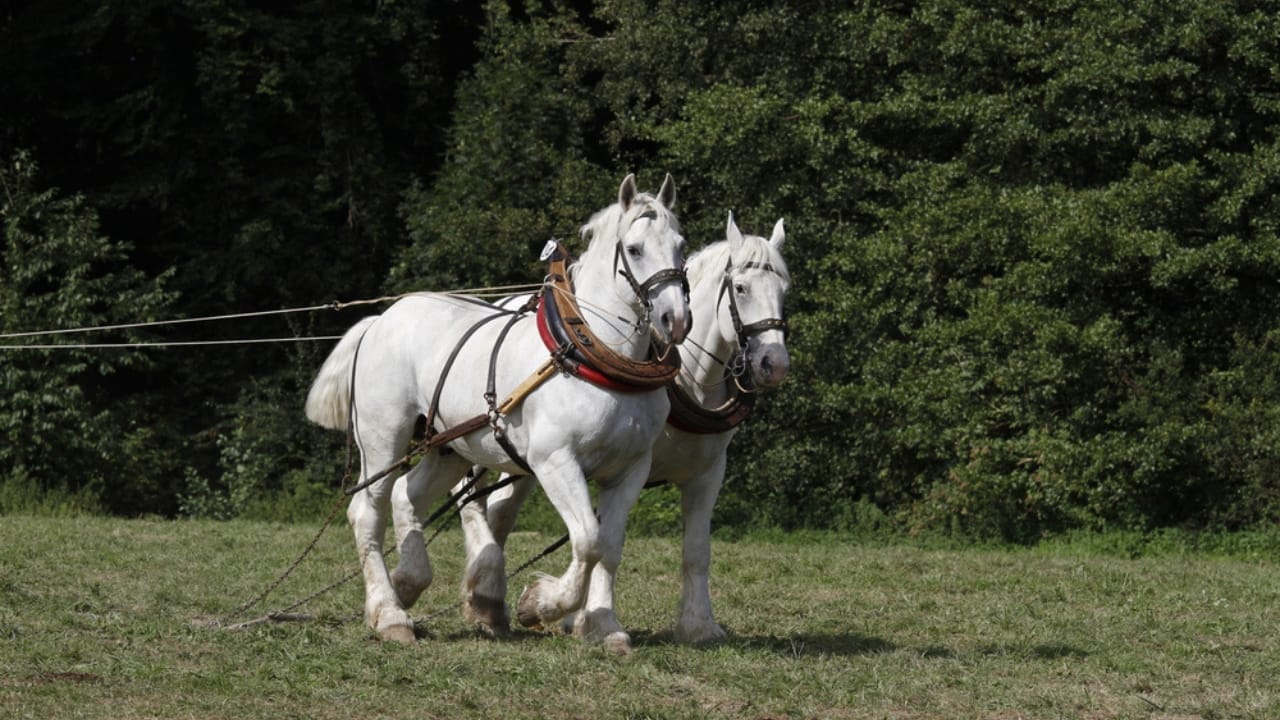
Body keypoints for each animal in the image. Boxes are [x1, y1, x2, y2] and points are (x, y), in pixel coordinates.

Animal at [305, 174, 691, 652]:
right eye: (634, 249)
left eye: (681, 245)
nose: (676, 320)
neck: (596, 357)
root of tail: (379, 320)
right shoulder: (555, 461)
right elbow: (588, 540)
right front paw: (541, 605)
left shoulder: (630, 469)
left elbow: (611, 546)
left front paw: (605, 626)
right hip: (382, 440)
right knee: (367, 512)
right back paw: (390, 613)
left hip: (449, 447)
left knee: (407, 495)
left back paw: (408, 582)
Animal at [452, 211, 790, 644]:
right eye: (742, 288)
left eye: (784, 290)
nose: (774, 363)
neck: (689, 382)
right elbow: (602, 541)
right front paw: (585, 618)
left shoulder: (707, 472)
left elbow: (696, 550)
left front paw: (699, 624)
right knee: (469, 501)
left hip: (522, 463)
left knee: (499, 514)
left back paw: (488, 599)